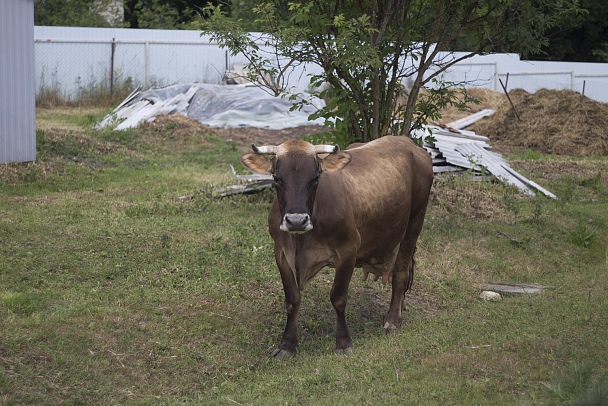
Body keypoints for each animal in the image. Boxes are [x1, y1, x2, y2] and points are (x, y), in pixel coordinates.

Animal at [240, 136, 434, 356]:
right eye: (276, 178)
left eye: (315, 179)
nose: (296, 221)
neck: (301, 241)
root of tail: (409, 143)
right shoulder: (281, 252)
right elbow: (292, 299)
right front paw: (287, 345)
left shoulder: (348, 250)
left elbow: (338, 297)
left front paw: (343, 342)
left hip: (414, 222)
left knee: (401, 272)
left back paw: (392, 321)